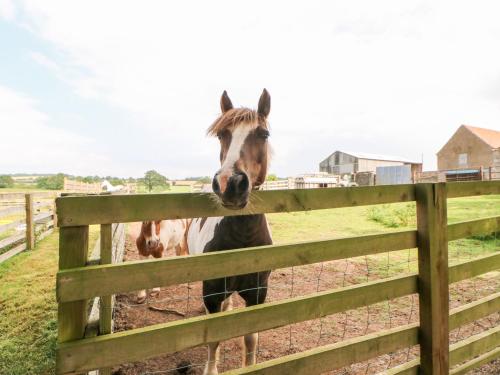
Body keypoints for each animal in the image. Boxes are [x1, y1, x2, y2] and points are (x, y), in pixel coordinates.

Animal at [188, 89, 274, 375]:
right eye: (221, 134)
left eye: (263, 134)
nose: (230, 183)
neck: (242, 240)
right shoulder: (212, 291)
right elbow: (214, 337)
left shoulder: (258, 291)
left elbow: (250, 337)